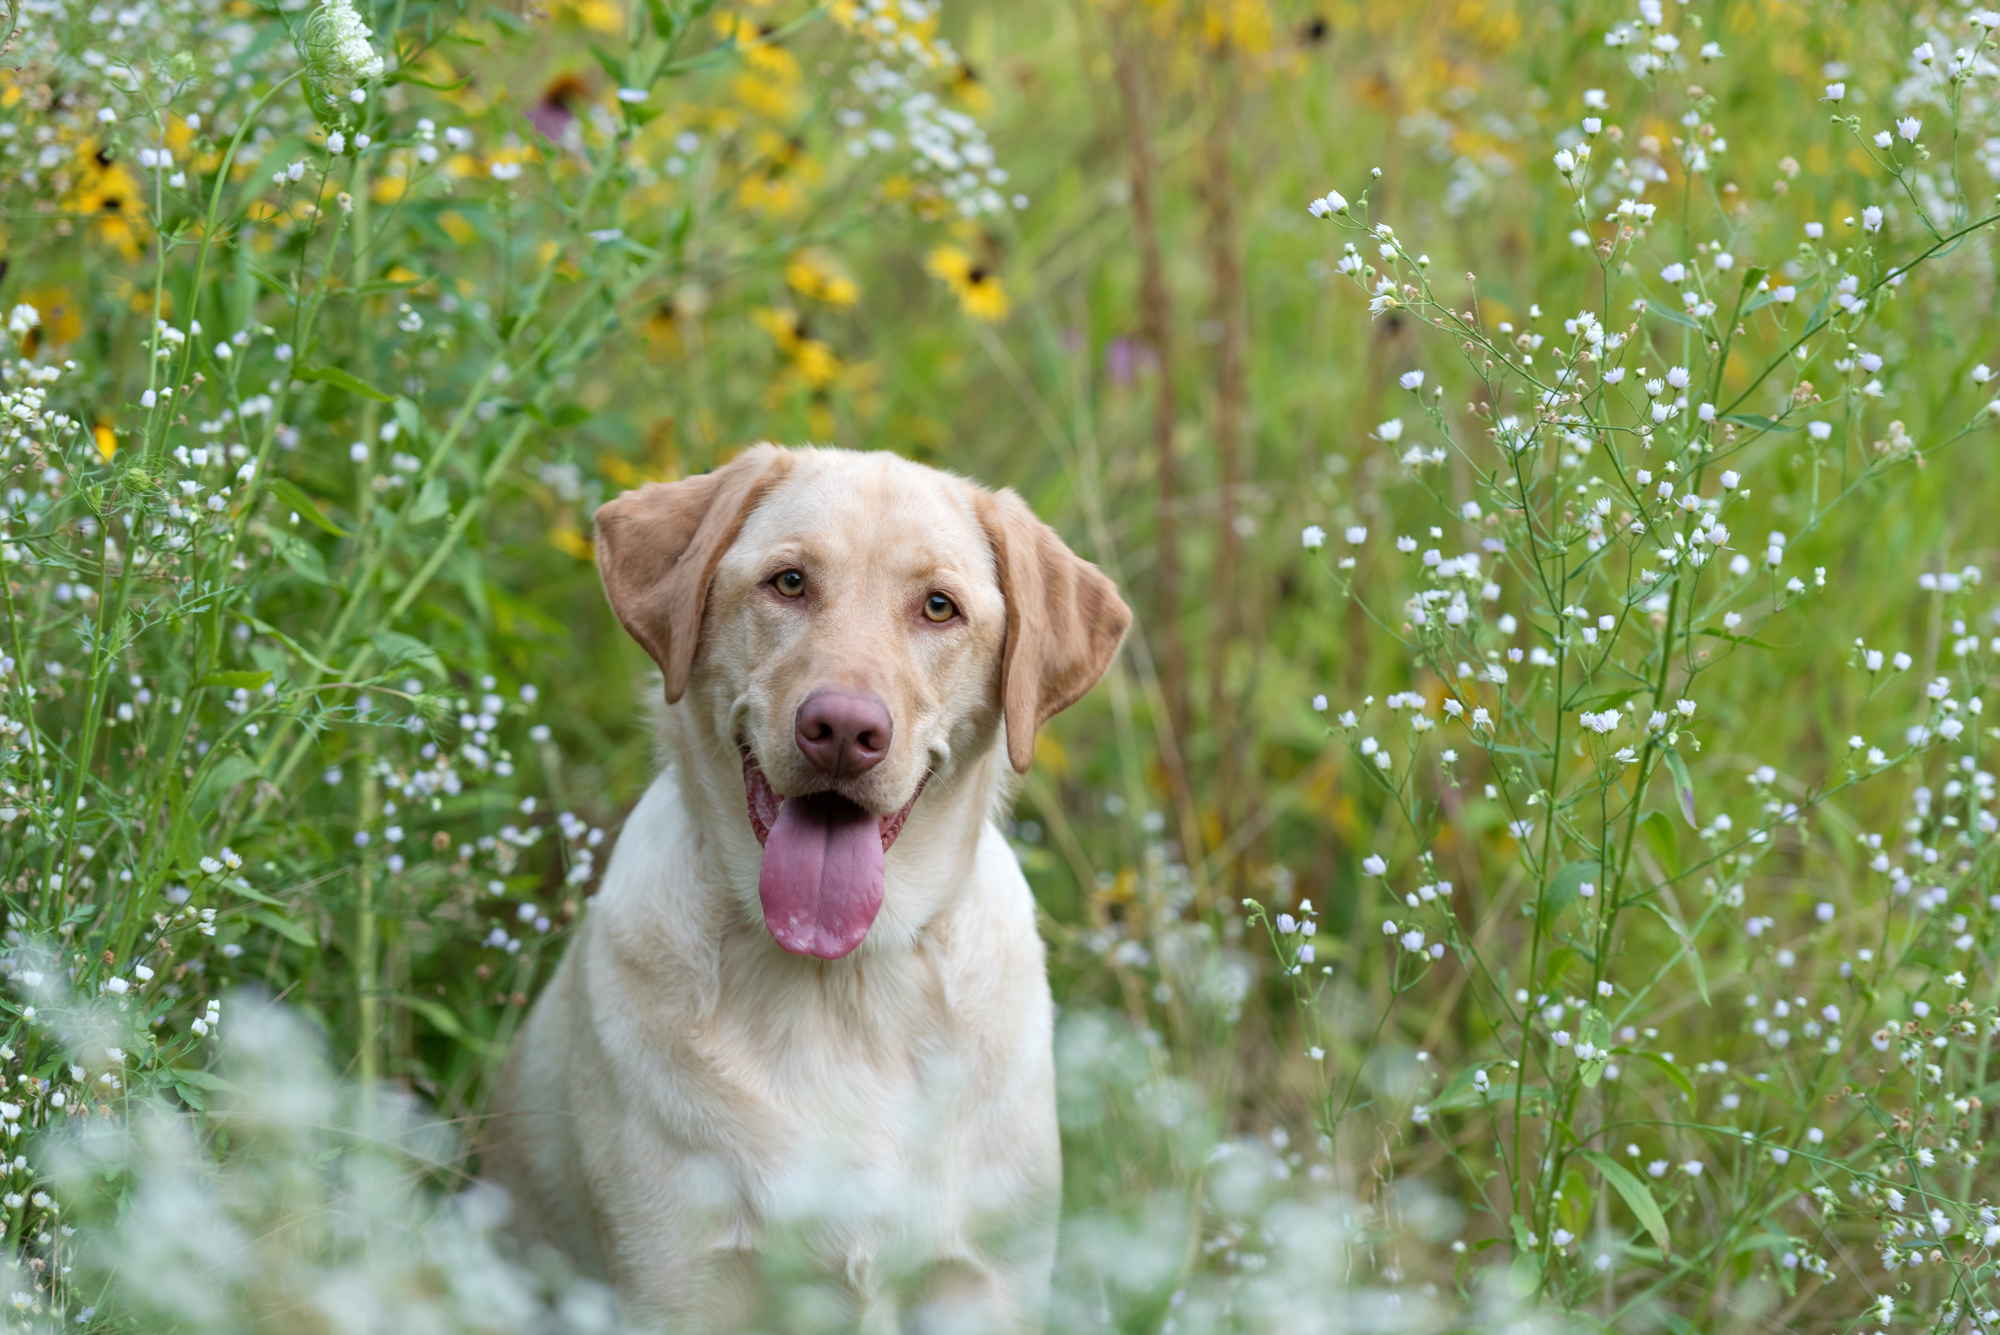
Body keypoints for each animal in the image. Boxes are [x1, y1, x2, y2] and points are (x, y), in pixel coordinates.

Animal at [484, 447, 1136, 1335]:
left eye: (939, 607)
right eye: (789, 582)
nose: (844, 731)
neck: (841, 980)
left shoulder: (985, 1284)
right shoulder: (676, 1285)